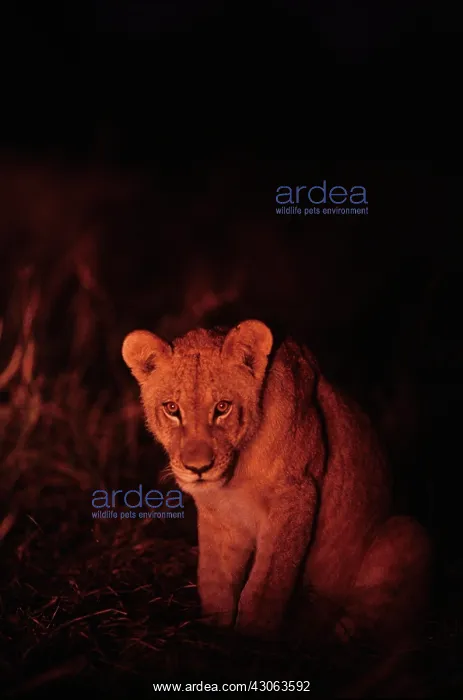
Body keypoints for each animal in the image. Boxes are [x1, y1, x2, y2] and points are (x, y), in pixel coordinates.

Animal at [121, 320, 430, 663]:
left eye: (222, 407)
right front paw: (214, 630)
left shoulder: (297, 496)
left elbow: (267, 582)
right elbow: (214, 578)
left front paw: (255, 640)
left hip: (409, 532)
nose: (197, 468)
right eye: (172, 408)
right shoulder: (218, 517)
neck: (236, 476)